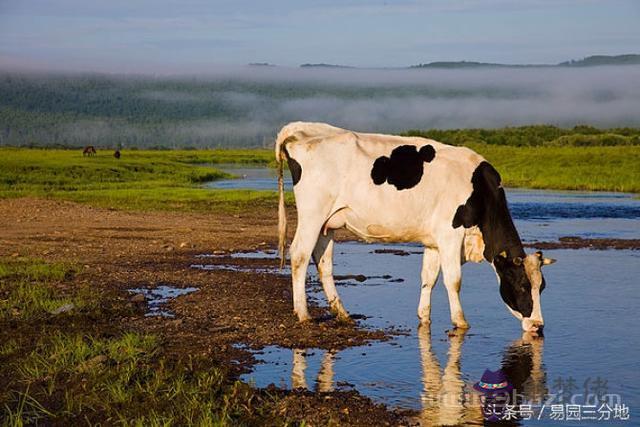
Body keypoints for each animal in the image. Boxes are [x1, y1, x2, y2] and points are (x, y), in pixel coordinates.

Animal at [276, 122, 556, 332]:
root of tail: (303, 131)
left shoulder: (434, 241)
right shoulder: (450, 234)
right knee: (300, 254)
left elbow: (428, 278)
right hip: (313, 214)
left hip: (328, 222)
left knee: (323, 261)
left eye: (542, 287)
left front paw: (424, 316)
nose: (538, 326)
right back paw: (303, 313)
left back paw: (342, 312)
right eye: (522, 285)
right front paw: (460, 322)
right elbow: (453, 280)